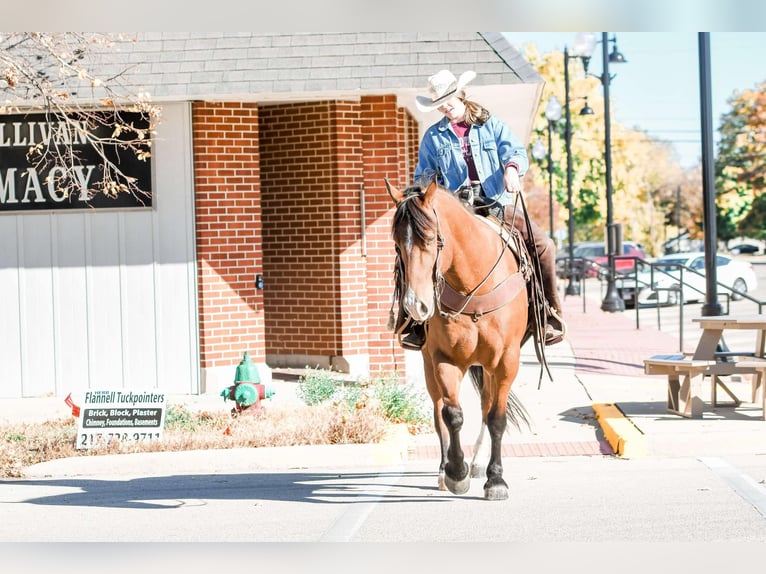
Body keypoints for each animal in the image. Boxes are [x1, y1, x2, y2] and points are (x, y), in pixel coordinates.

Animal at [388, 179, 536, 500]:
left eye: (432, 239)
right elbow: (452, 414)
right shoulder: (444, 359)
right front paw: (457, 473)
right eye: (396, 243)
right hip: (431, 365)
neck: (472, 285)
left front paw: (496, 480)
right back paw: (445, 470)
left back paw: (480, 463)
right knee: (438, 410)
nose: (415, 306)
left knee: (486, 406)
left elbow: (496, 418)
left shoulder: (506, 361)